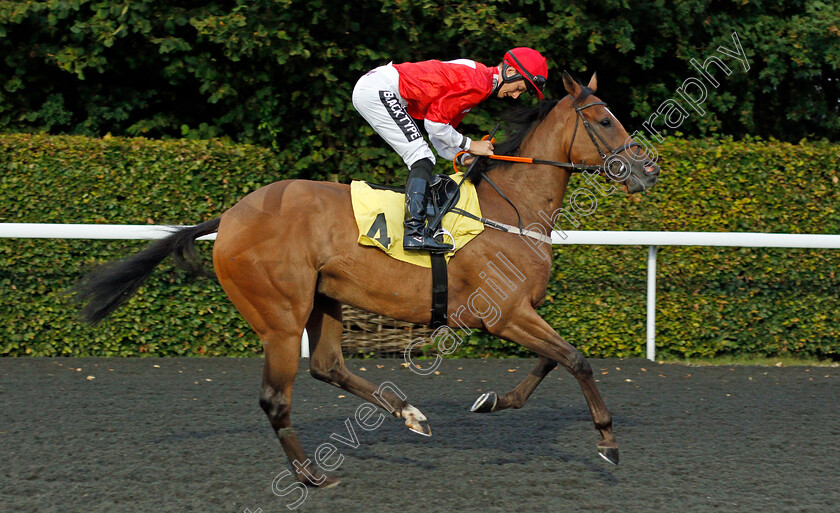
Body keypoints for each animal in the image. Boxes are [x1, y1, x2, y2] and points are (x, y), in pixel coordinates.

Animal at [72, 71, 660, 484]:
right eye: (604, 121)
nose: (648, 169)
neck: (510, 209)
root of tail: (230, 217)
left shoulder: (520, 312)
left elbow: (556, 358)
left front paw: (494, 401)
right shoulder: (504, 314)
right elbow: (575, 359)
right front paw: (607, 443)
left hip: (325, 299)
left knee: (328, 366)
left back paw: (408, 414)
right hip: (280, 318)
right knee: (276, 398)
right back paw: (312, 476)